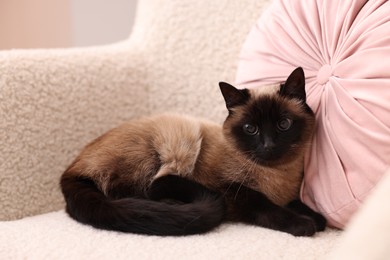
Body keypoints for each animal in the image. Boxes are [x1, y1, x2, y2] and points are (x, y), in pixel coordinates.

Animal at [60, 67, 326, 238]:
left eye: (284, 124)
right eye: (251, 129)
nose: (269, 145)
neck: (278, 175)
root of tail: (70, 169)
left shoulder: (287, 195)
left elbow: (298, 204)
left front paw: (318, 218)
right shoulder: (232, 191)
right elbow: (266, 207)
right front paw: (304, 225)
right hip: (183, 135)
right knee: (143, 190)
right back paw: (171, 203)